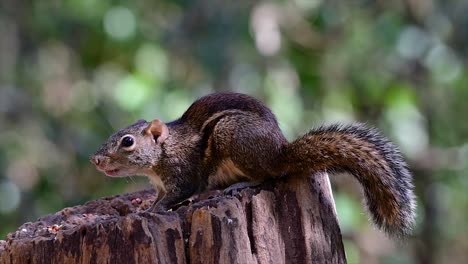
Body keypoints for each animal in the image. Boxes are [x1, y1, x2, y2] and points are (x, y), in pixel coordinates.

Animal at [89, 92, 414, 236]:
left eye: (127, 142)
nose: (96, 159)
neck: (164, 152)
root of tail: (281, 152)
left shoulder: (183, 174)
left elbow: (178, 195)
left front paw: (152, 212)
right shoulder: (159, 185)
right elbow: (159, 197)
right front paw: (144, 209)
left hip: (234, 138)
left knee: (268, 176)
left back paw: (241, 184)